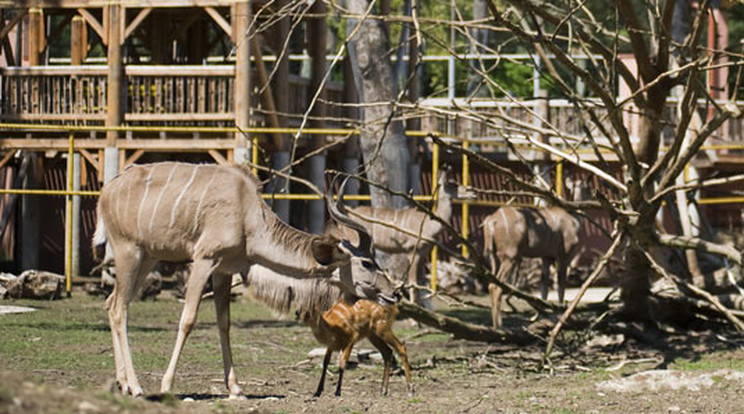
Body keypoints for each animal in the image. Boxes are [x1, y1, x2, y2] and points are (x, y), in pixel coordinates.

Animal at [92, 160, 384, 396]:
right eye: (367, 262)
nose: (390, 292)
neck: (247, 213)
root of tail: (107, 191)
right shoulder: (204, 259)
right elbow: (188, 319)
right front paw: (166, 385)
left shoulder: (223, 269)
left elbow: (224, 323)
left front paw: (234, 388)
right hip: (128, 251)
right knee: (119, 309)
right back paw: (136, 386)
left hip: (148, 256)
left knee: (111, 302)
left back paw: (123, 383)